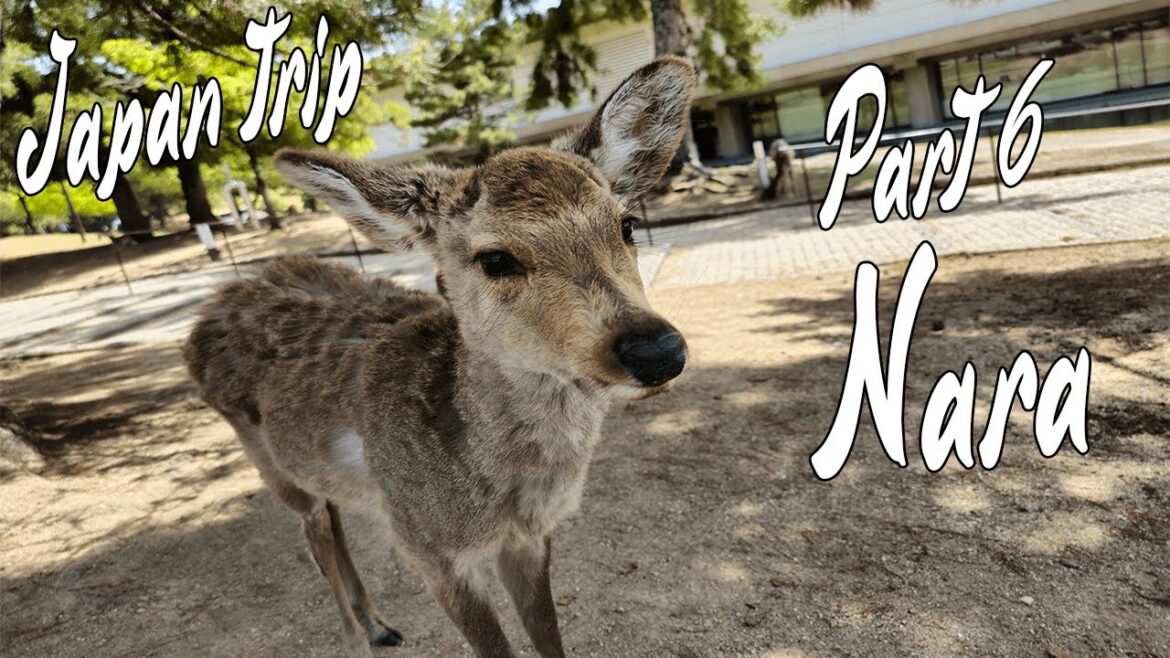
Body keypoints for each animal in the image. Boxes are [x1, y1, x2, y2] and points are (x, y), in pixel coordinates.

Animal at [182, 57, 695, 658]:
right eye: (494, 258)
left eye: (626, 224)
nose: (657, 348)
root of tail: (204, 317)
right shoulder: (426, 547)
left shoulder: (529, 539)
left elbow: (548, 637)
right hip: (269, 464)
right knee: (313, 531)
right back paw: (357, 636)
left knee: (332, 516)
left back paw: (380, 625)